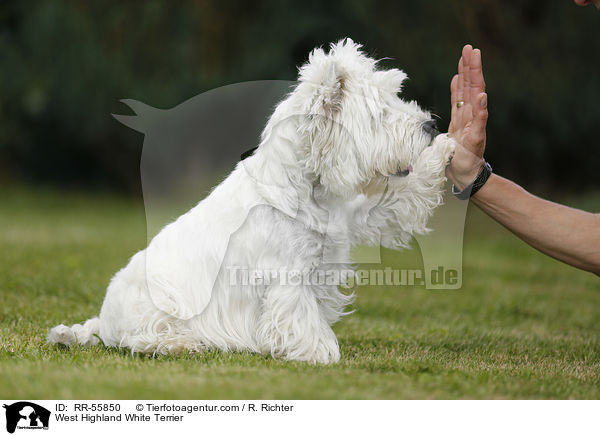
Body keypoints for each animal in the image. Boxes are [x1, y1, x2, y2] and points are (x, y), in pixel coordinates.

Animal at [49, 39, 454, 362]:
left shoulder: (354, 217)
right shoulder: (286, 277)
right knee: (143, 339)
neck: (307, 188)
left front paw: (446, 150)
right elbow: (300, 317)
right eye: (380, 114)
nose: (431, 124)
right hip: (156, 309)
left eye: (397, 97)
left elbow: (398, 200)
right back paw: (181, 345)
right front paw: (320, 353)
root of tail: (102, 319)